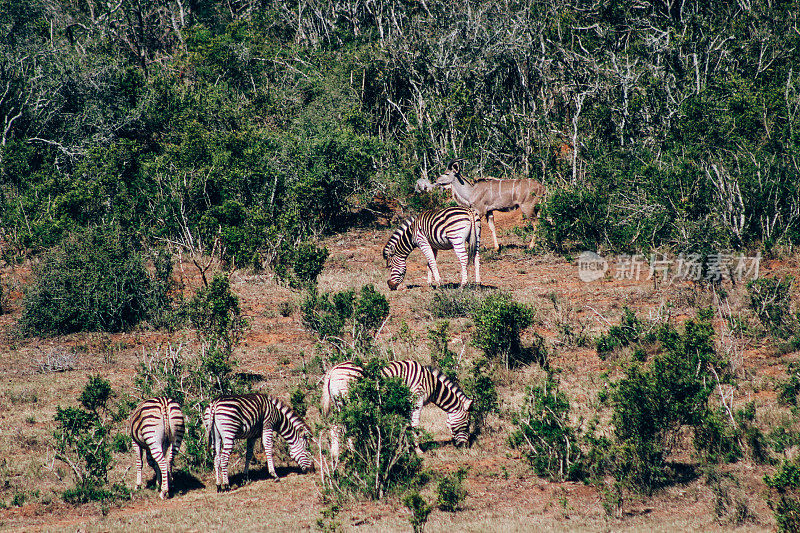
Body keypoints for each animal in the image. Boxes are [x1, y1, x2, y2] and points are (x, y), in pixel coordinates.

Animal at [320, 358, 472, 466]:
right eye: (467, 424)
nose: (465, 447)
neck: (431, 384)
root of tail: (333, 369)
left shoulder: (405, 403)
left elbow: (404, 425)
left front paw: (404, 448)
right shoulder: (416, 399)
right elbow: (414, 425)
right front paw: (418, 450)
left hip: (339, 403)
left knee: (336, 425)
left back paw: (343, 454)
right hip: (347, 401)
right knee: (341, 426)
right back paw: (344, 454)